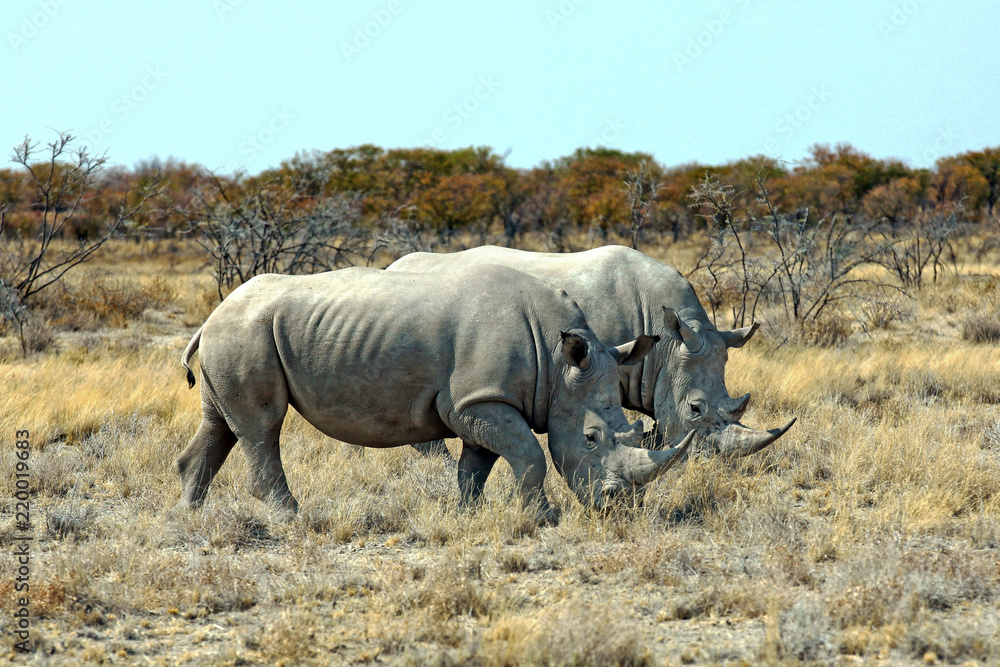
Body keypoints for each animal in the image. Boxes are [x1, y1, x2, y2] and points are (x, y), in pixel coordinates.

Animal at [175, 265, 693, 518]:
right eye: (590, 439)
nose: (619, 507)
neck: (557, 361)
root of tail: (213, 314)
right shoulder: (477, 399)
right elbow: (529, 453)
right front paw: (543, 519)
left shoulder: (478, 400)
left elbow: (476, 465)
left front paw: (467, 513)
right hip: (245, 333)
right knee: (263, 426)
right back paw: (291, 518)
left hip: (234, 334)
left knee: (221, 424)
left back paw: (189, 515)